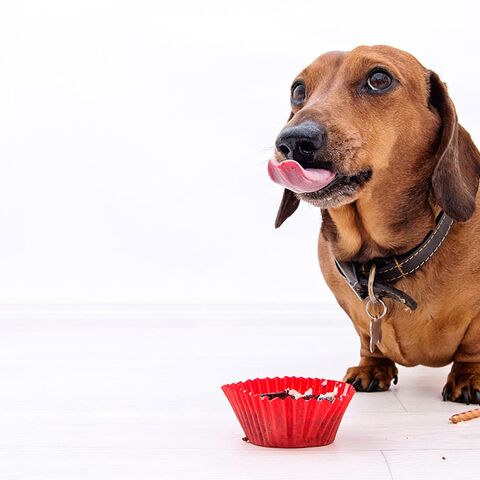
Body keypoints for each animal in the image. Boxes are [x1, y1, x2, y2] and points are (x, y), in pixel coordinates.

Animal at [268, 46, 480, 404]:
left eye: (379, 79)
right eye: (298, 90)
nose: (293, 141)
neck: (381, 262)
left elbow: (471, 345)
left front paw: (469, 376)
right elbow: (367, 337)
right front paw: (371, 366)